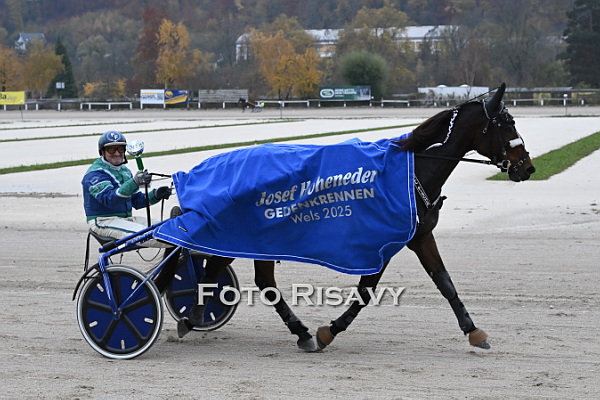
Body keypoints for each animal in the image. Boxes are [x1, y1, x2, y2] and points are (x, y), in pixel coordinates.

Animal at [173, 83, 535, 352]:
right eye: (507, 124)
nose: (528, 167)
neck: (411, 172)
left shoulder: (420, 236)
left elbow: (444, 281)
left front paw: (473, 330)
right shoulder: (384, 242)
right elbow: (366, 291)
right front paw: (329, 331)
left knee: (259, 281)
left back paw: (290, 330)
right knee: (219, 271)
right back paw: (196, 316)